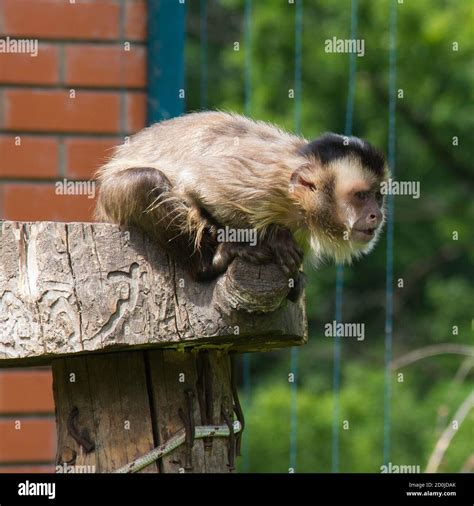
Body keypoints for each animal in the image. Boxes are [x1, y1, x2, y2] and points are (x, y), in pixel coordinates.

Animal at [95, 111, 388, 300]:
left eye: (378, 196)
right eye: (360, 196)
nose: (377, 215)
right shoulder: (264, 184)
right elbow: (196, 185)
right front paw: (269, 238)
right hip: (112, 198)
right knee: (146, 181)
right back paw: (208, 265)